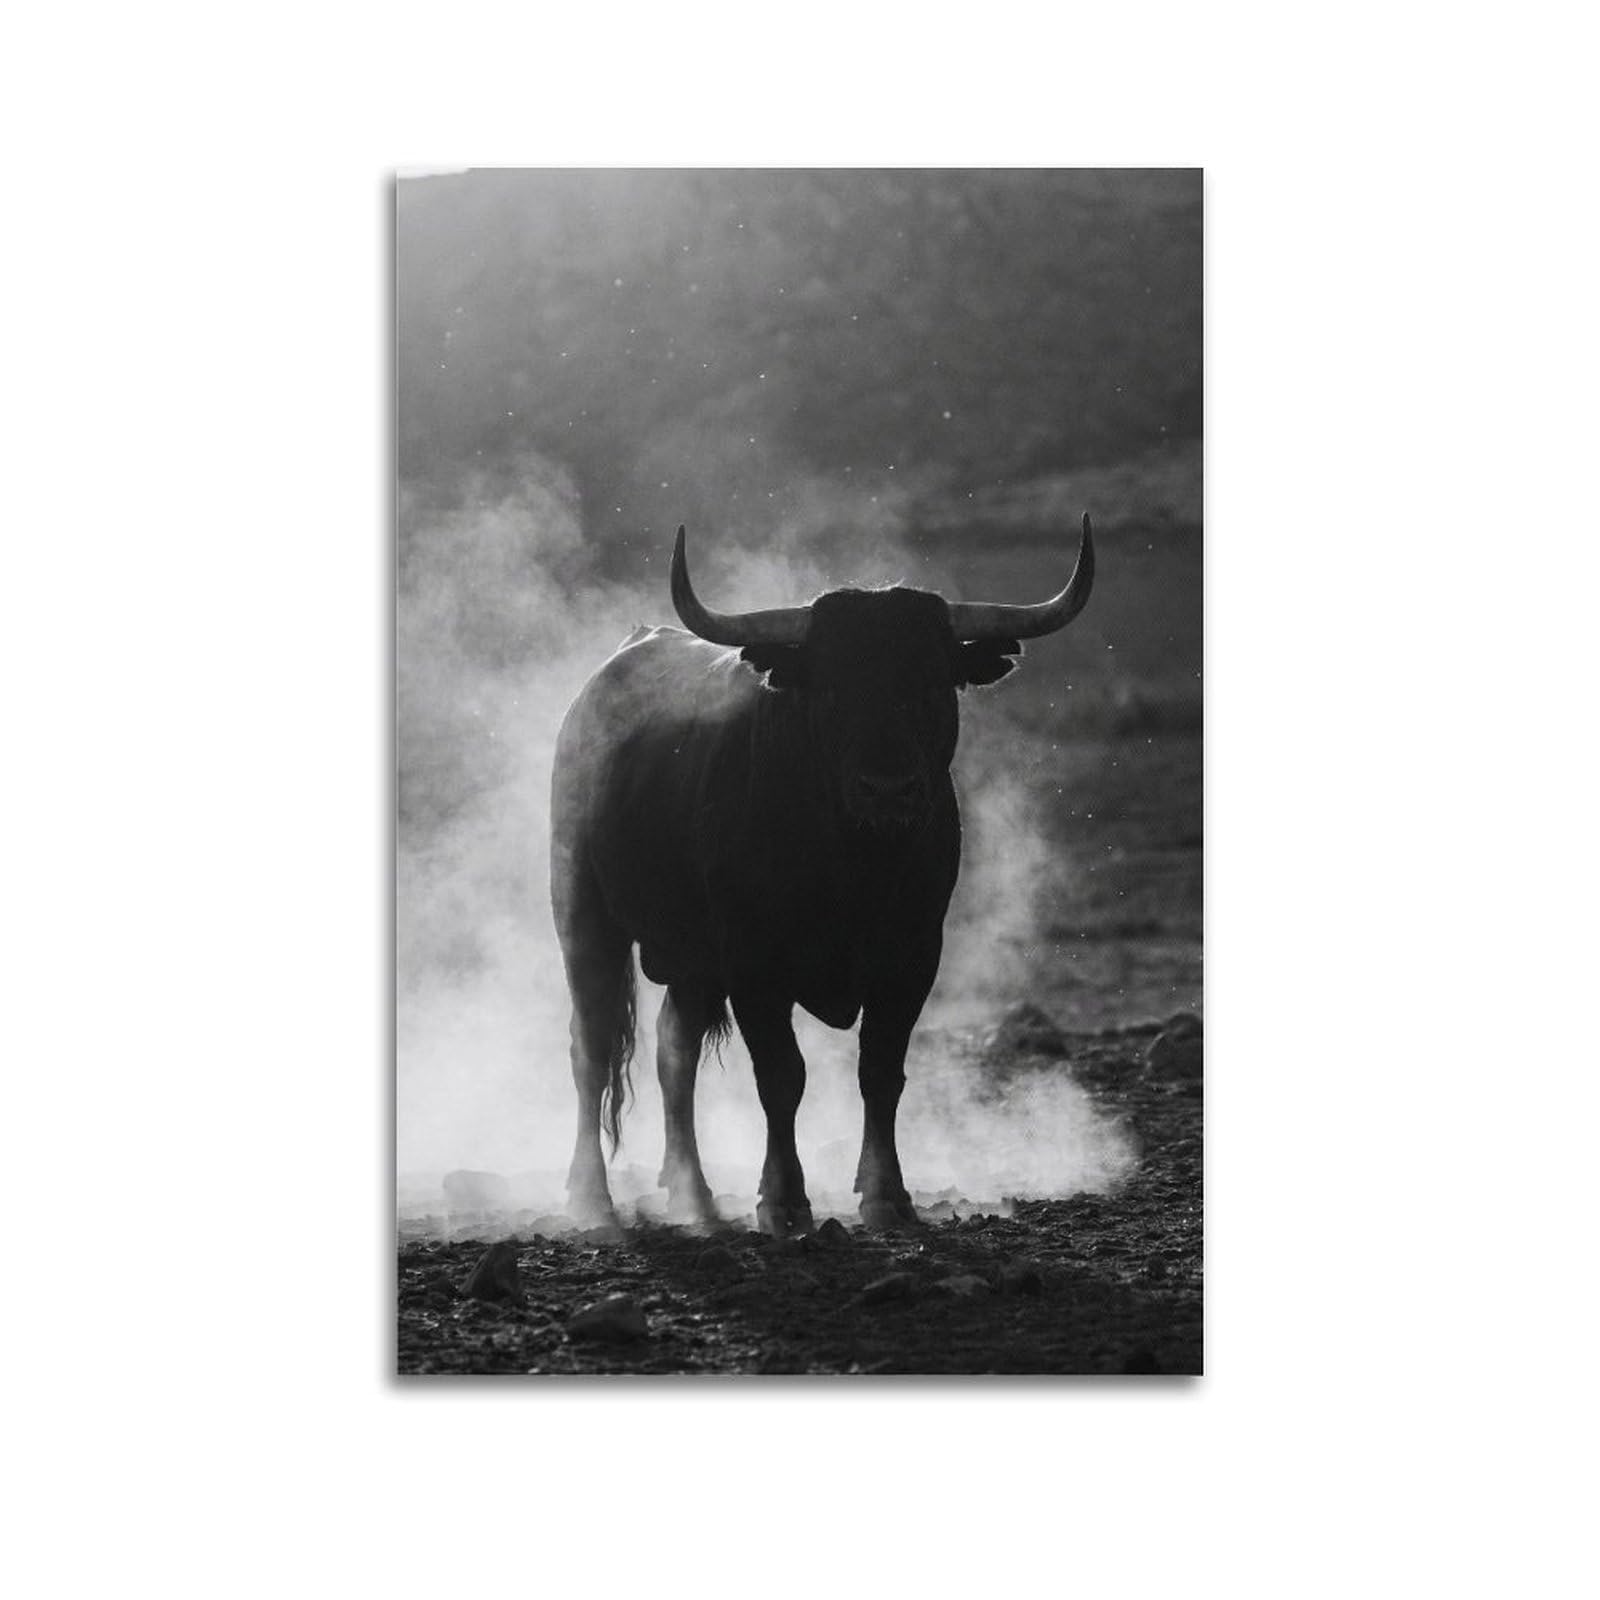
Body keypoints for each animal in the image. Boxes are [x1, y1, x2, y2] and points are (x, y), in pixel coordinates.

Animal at [550, 515, 1094, 1235]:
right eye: (833, 687)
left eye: (932, 683)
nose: (887, 789)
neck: (853, 867)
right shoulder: (755, 965)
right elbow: (782, 1076)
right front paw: (783, 1200)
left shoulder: (913, 957)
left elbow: (881, 1072)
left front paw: (888, 1196)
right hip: (584, 917)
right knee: (590, 1049)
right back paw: (591, 1198)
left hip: (692, 958)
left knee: (674, 1055)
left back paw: (695, 1196)